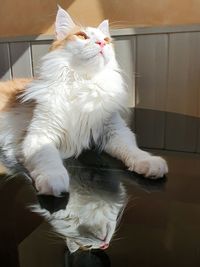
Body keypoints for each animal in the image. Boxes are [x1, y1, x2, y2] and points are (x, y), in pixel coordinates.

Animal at [0, 4, 169, 197]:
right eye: (82, 36)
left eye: (106, 40)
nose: (102, 43)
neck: (83, 83)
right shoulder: (39, 135)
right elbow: (48, 158)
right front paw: (54, 179)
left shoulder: (115, 130)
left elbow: (132, 149)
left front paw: (149, 162)